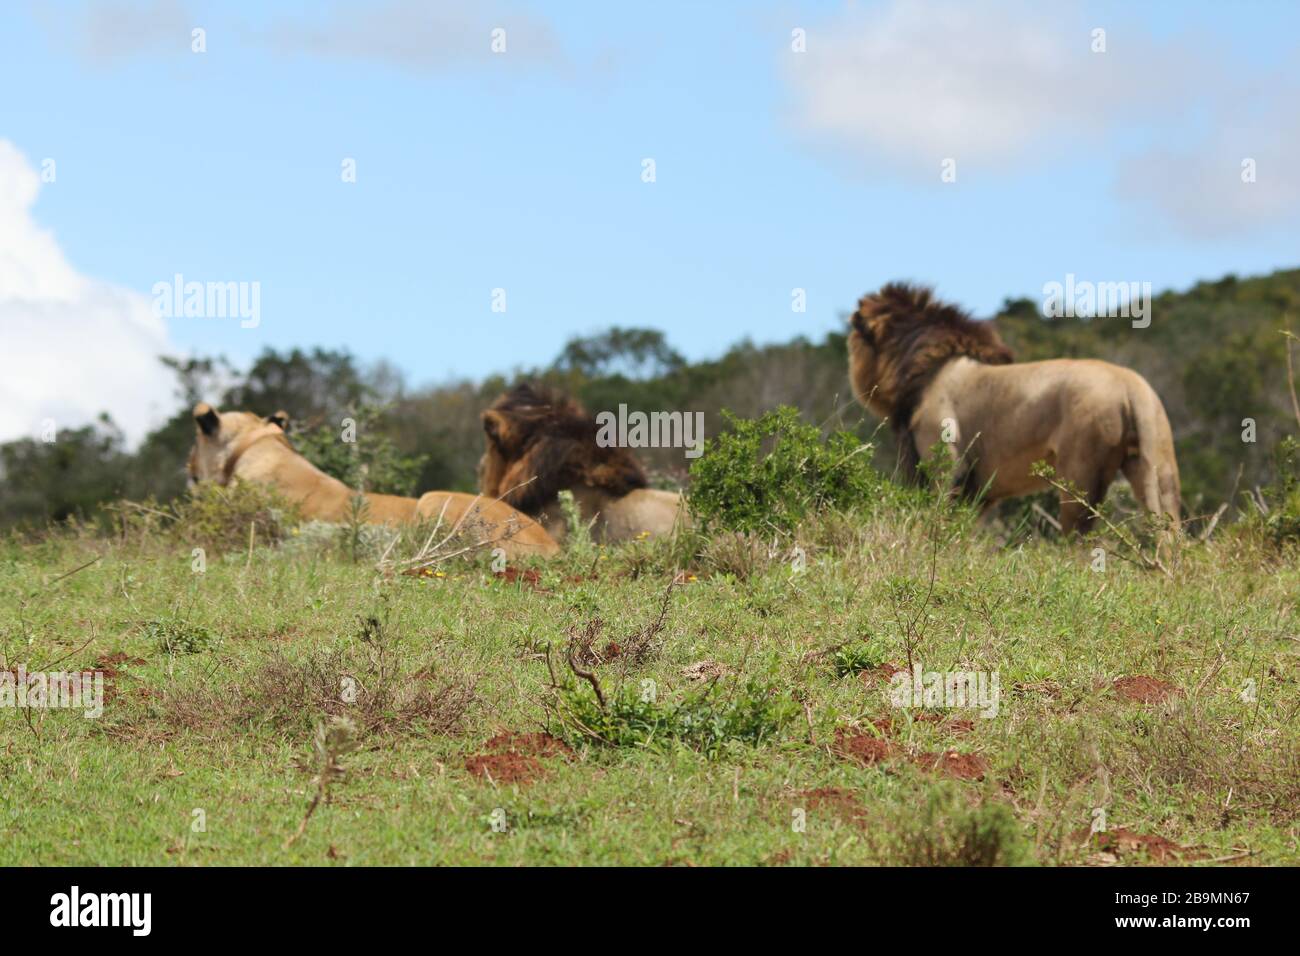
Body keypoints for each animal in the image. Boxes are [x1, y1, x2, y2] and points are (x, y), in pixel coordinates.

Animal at [847, 283, 1180, 534]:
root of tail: (1131, 386)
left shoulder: (945, 461)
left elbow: (939, 516)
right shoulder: (978, 485)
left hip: (1080, 473)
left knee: (1079, 539)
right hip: (1160, 467)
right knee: (1171, 532)